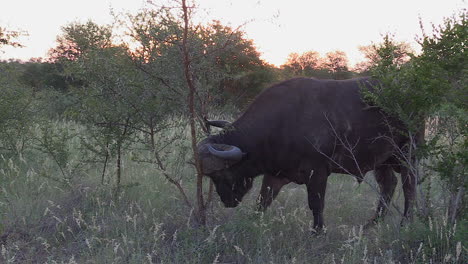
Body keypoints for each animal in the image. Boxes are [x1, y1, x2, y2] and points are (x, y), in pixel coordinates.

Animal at [197, 77, 416, 230]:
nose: (227, 200)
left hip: (408, 154)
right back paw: (372, 224)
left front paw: (318, 232)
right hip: (382, 161)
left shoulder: (317, 172)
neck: (280, 124)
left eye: (219, 174)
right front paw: (252, 224)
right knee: (388, 185)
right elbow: (262, 202)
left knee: (409, 187)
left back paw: (406, 223)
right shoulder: (275, 175)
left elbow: (316, 204)